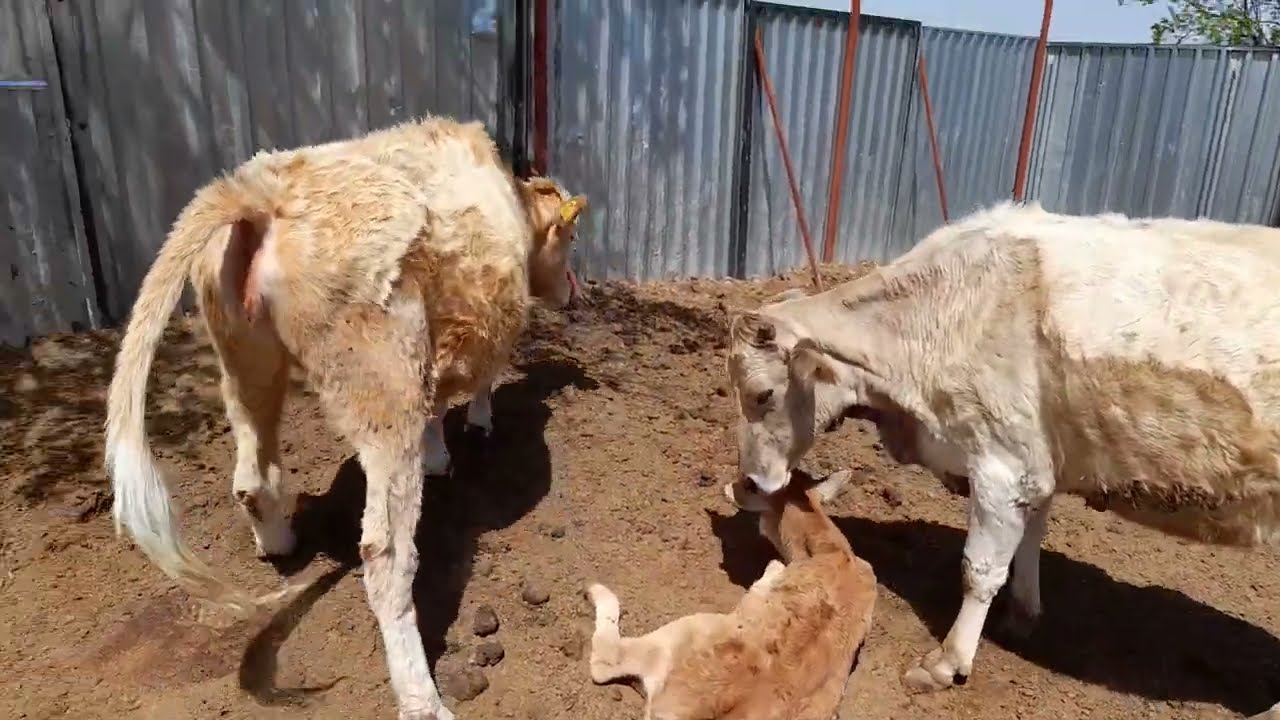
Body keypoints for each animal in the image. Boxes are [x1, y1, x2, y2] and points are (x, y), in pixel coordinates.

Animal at [104, 116, 587, 720]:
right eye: (569, 238)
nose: (574, 292)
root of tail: (262, 186)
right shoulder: (478, 336)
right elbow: (471, 389)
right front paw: (462, 438)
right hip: (384, 385)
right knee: (385, 555)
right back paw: (421, 697)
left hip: (246, 364)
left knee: (253, 479)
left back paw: (279, 544)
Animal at [724, 201, 1280, 717]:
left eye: (762, 394)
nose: (749, 481)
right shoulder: (1037, 463)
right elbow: (1030, 540)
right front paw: (1024, 614)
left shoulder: (1001, 462)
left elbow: (980, 569)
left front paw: (946, 663)